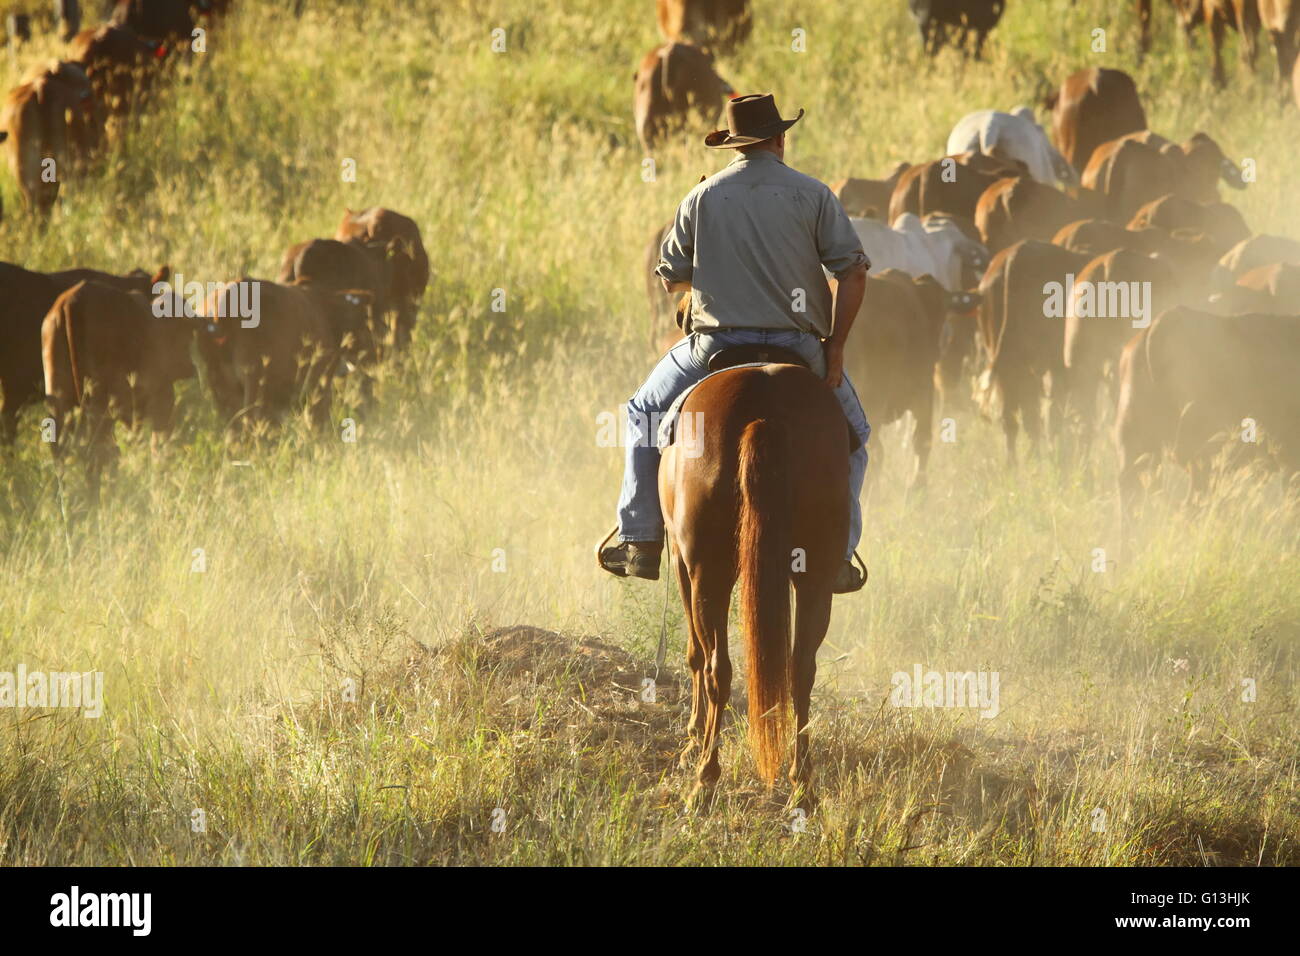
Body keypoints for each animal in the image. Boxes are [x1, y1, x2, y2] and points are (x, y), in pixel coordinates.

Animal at [660, 358, 852, 806]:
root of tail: (766, 408)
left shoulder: (681, 560)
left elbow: (694, 654)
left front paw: (691, 740)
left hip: (707, 573)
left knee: (717, 668)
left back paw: (705, 779)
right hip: (815, 577)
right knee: (801, 670)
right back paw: (802, 783)